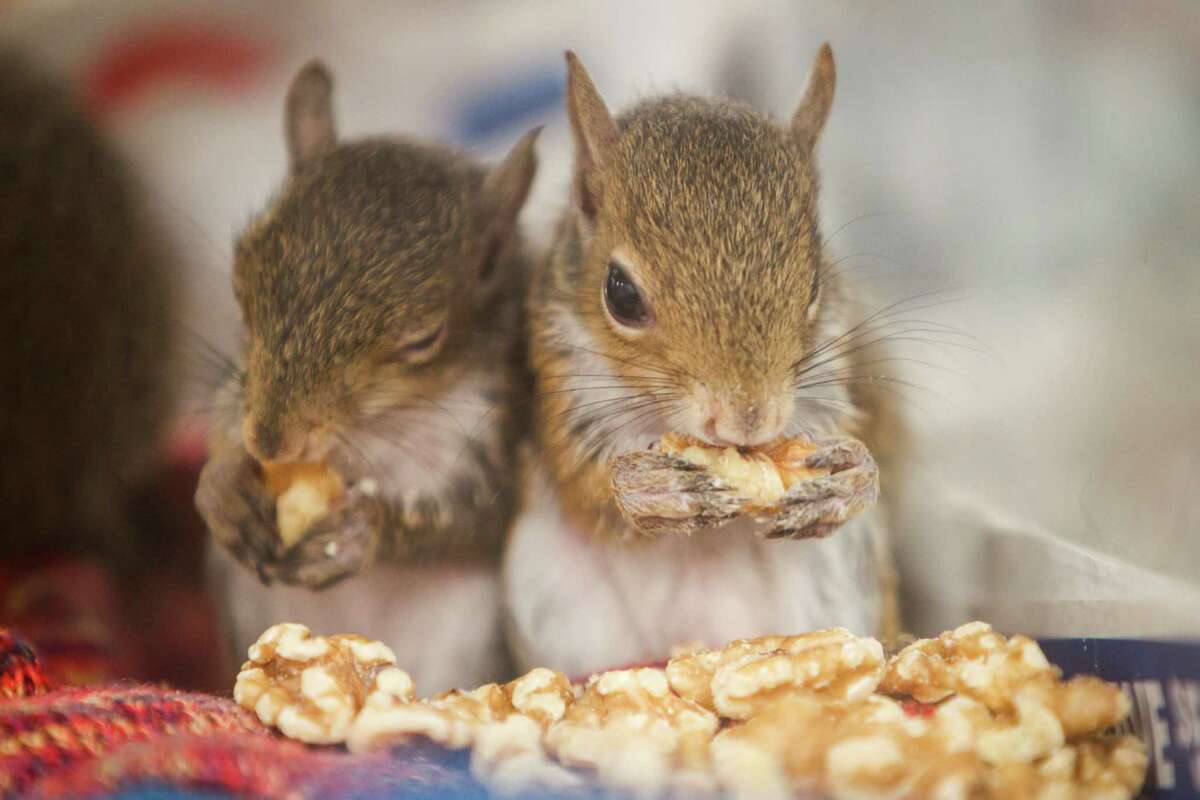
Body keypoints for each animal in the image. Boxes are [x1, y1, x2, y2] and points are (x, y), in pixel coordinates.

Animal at [196, 59, 540, 690]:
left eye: (423, 339)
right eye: (239, 279)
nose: (272, 442)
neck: (380, 426)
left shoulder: (495, 432)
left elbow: (474, 516)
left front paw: (364, 532)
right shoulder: (234, 384)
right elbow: (219, 422)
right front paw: (223, 483)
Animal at [499, 47, 902, 681]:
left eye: (816, 284)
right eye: (620, 294)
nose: (748, 420)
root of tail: (697, 643)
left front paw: (850, 478)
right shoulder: (557, 379)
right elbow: (580, 480)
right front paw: (649, 486)